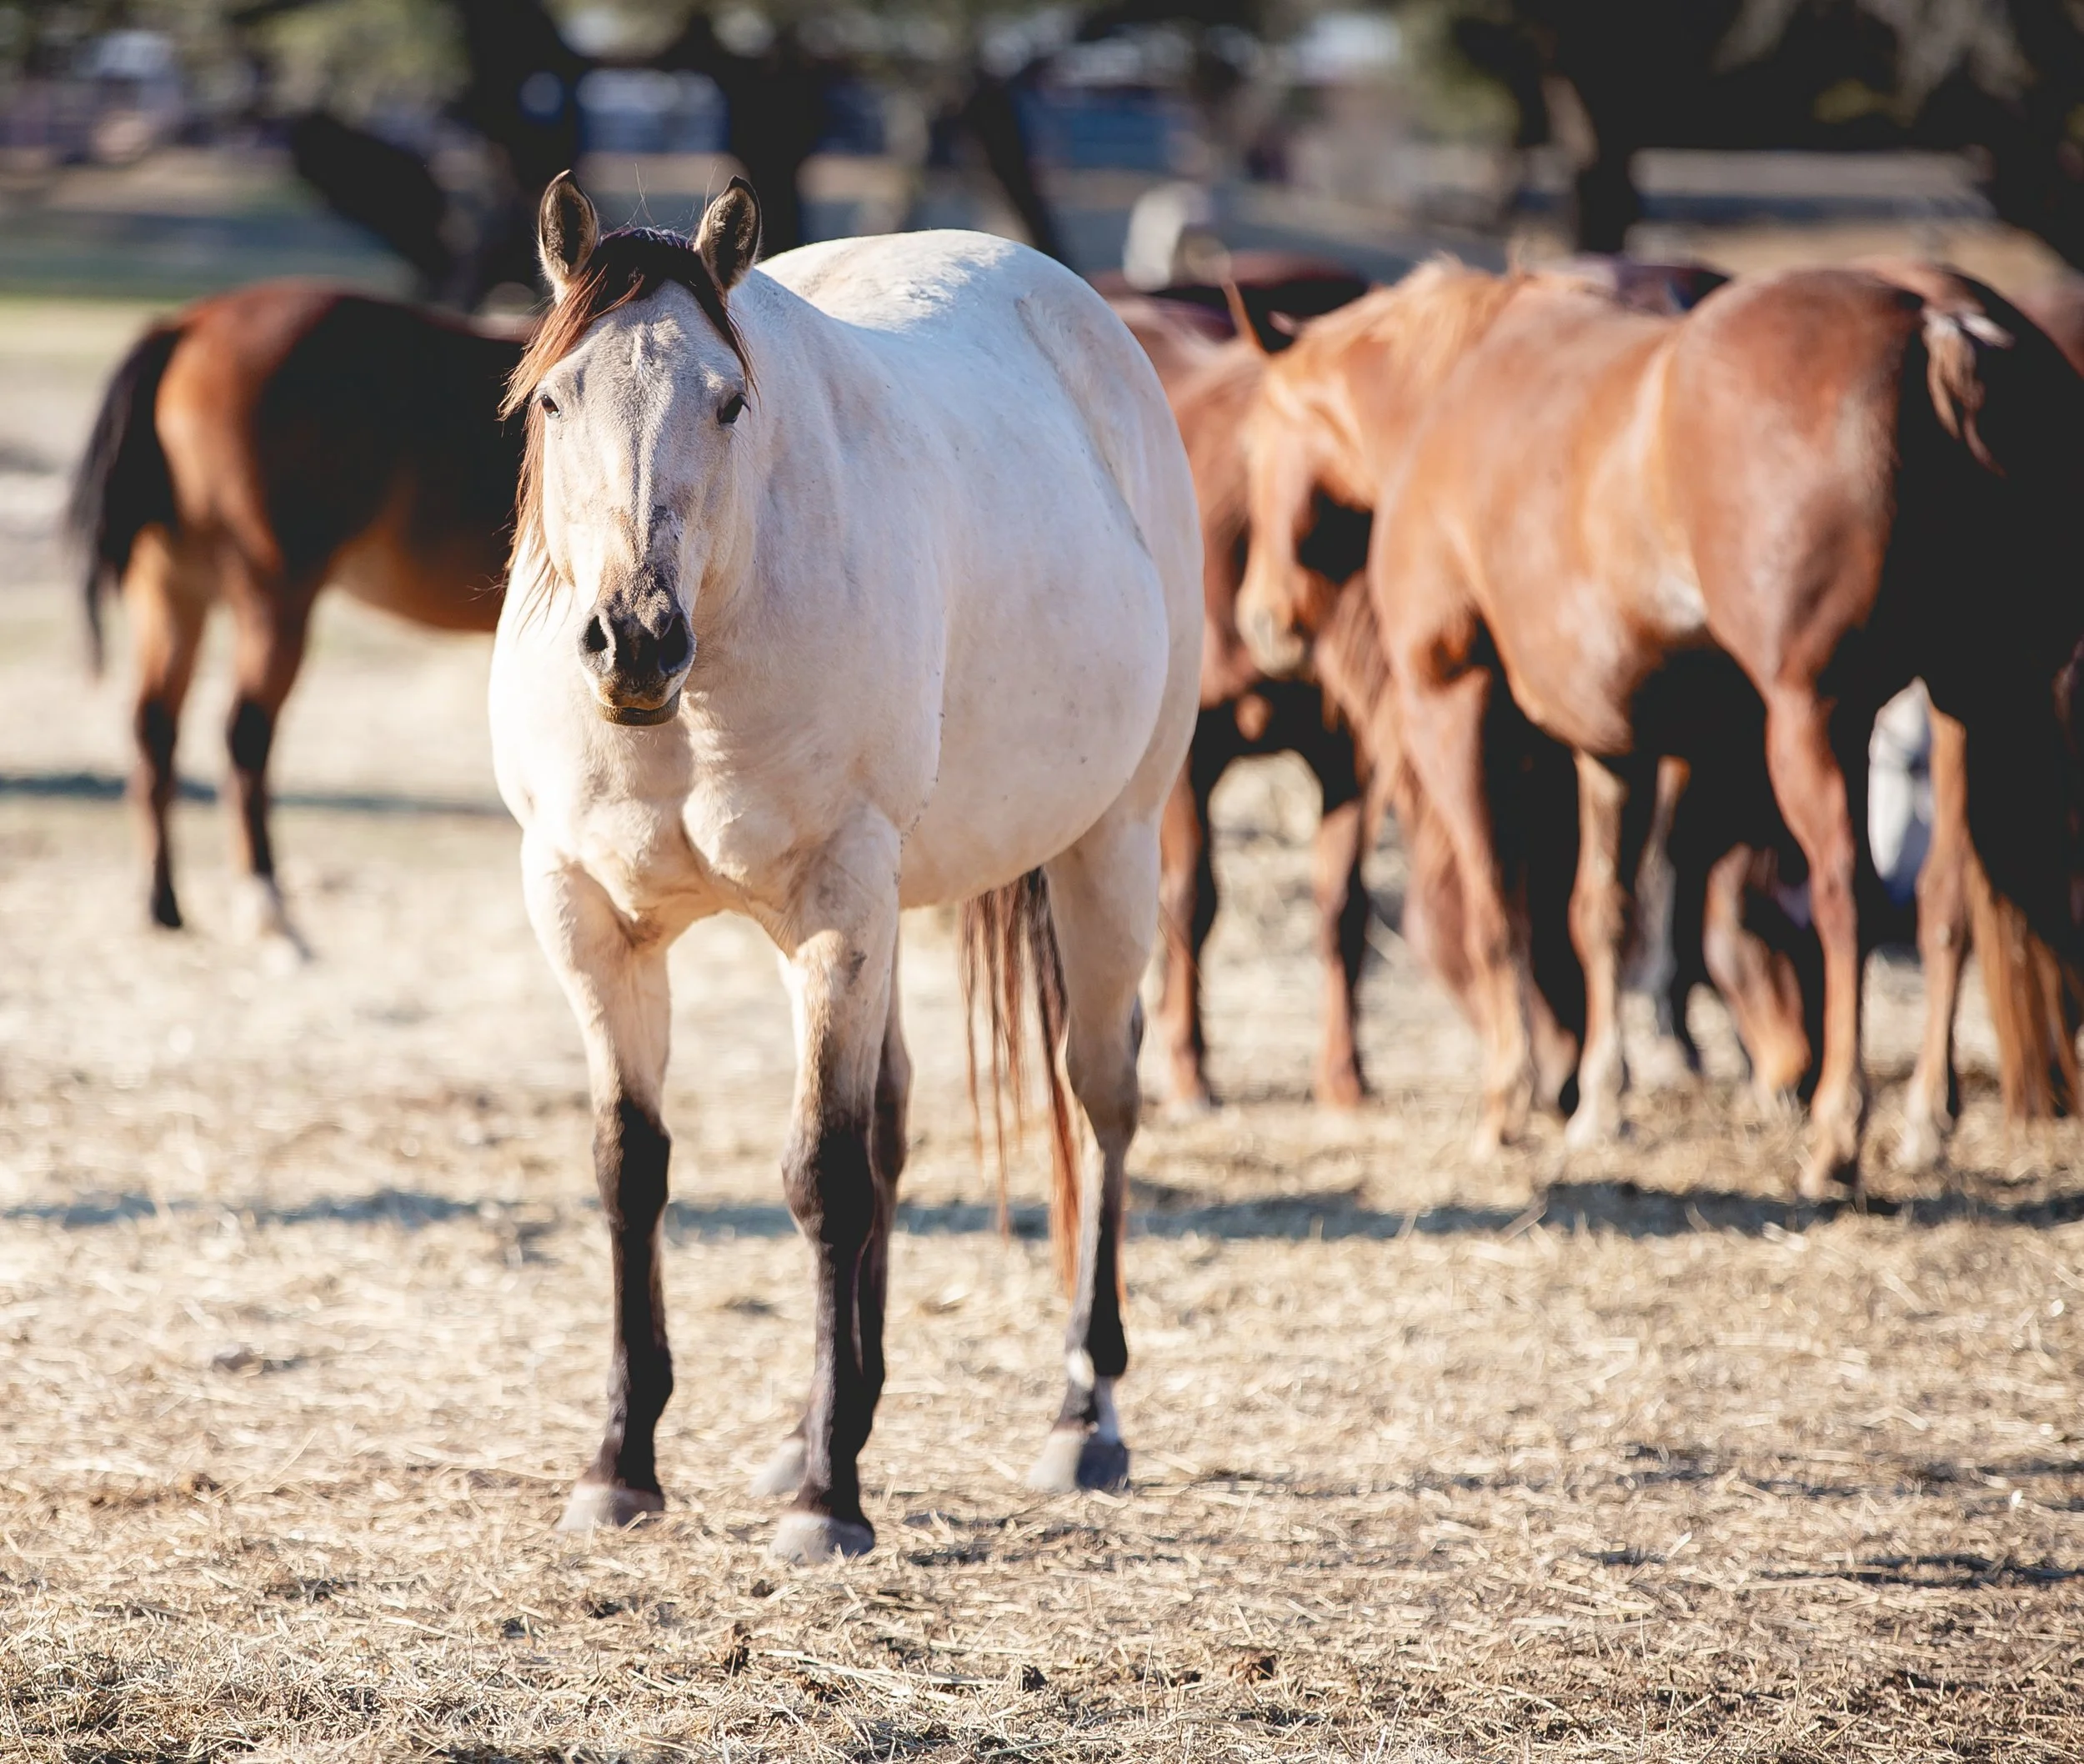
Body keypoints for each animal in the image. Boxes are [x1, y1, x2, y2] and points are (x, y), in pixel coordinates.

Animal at [68, 283, 525, 947]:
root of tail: (187, 326)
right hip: (274, 594)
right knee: (244, 735)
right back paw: (266, 901)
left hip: (172, 590)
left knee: (154, 728)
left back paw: (163, 903)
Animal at [488, 175, 1200, 1561]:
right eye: (554, 397)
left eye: (728, 400)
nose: (633, 640)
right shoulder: (588, 919)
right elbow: (633, 1171)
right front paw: (624, 1465)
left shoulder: (836, 905)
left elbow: (820, 1173)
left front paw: (831, 1502)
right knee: (896, 1130)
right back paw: (827, 1421)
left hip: (1108, 852)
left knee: (1098, 1100)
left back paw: (1081, 1419)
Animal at [1234, 259, 2084, 1194]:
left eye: (1258, 443)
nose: (1261, 618)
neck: (1447, 391)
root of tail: (1939, 324)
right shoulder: (1612, 741)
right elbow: (1601, 914)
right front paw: (1600, 1106)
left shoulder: (1452, 699)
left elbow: (1497, 913)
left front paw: (1505, 1107)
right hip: (1972, 696)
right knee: (1944, 899)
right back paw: (1924, 1122)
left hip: (1816, 716)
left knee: (1845, 902)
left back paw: (1835, 1135)